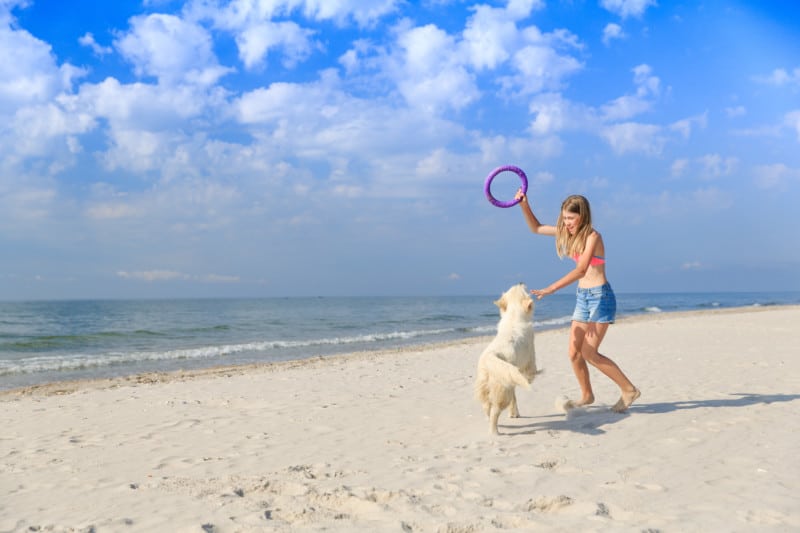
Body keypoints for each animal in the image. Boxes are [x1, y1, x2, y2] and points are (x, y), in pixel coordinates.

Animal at [472, 282, 540, 432]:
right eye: (524, 289)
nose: (520, 281)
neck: (513, 317)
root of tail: (491, 357)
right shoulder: (530, 359)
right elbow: (530, 374)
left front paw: (514, 413)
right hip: (502, 392)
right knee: (495, 412)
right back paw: (495, 432)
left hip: (485, 388)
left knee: (487, 408)